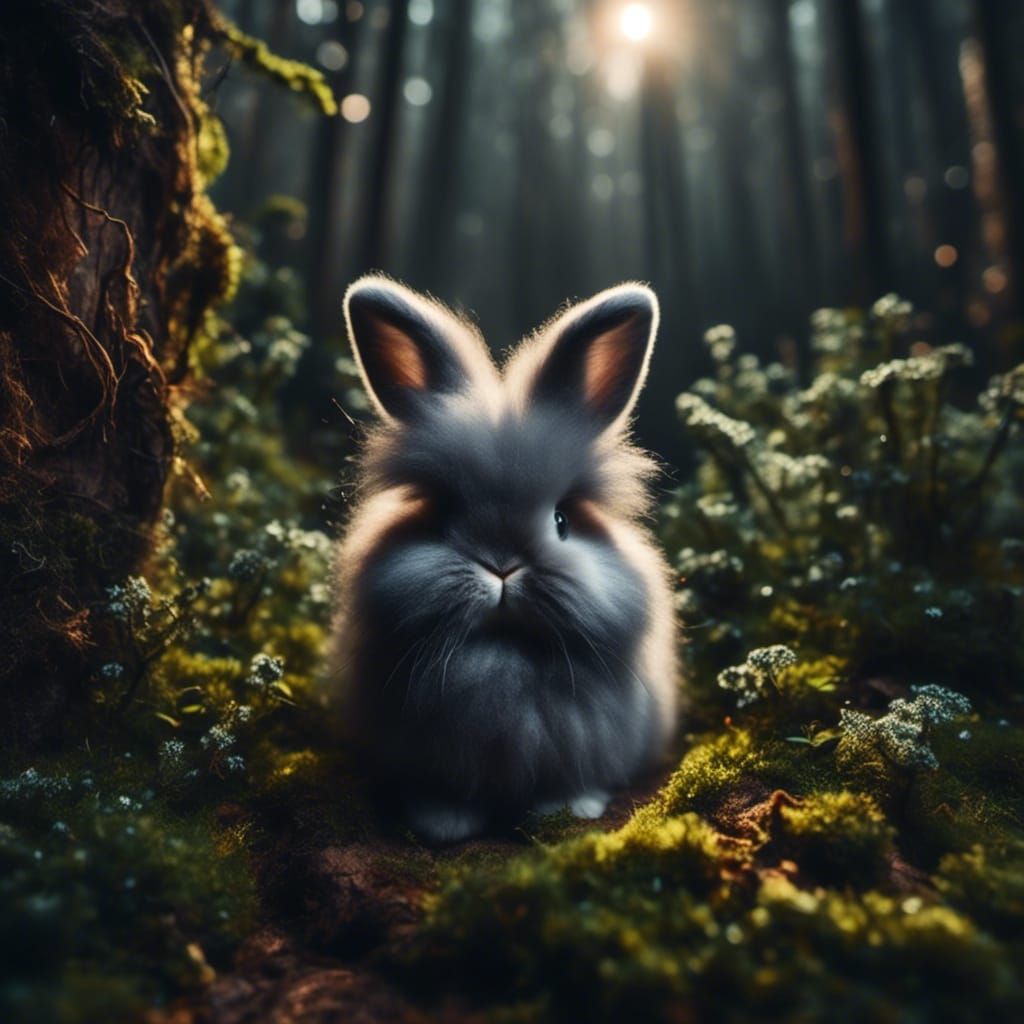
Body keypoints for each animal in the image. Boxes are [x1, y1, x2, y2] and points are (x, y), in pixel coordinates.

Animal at [328, 275, 679, 843]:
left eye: (562, 520)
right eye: (443, 516)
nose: (502, 567)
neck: (504, 661)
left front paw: (573, 810)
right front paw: (442, 826)